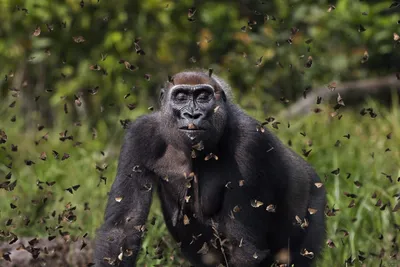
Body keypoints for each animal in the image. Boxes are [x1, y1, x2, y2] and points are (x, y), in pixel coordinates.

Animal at [93, 70, 324, 266]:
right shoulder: (140, 135)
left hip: (315, 199)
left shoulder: (250, 141)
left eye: (203, 97)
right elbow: (123, 228)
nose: (192, 115)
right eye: (181, 97)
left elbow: (244, 248)